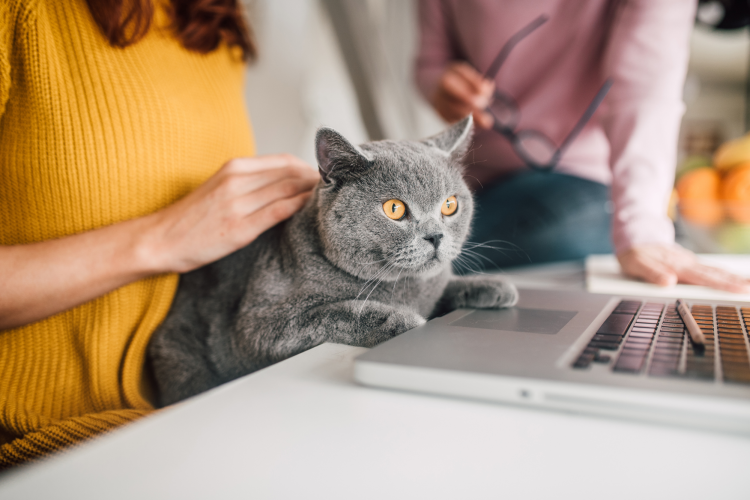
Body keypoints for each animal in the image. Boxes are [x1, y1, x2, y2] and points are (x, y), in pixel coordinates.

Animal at [150, 117, 520, 406]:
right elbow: (339, 311)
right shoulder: (257, 327)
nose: (435, 237)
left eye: (450, 205)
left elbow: (445, 287)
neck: (406, 288)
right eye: (394, 209)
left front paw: (493, 286)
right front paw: (403, 320)